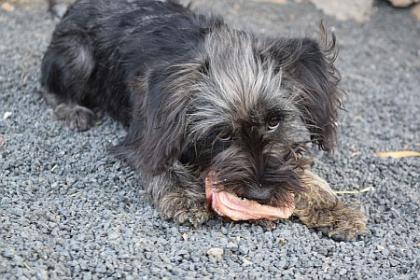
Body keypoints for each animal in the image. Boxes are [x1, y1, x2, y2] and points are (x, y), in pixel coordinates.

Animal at [40, 0, 368, 241]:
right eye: (222, 134)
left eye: (275, 121)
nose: (260, 194)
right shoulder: (142, 141)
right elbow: (162, 164)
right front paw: (182, 194)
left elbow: (303, 170)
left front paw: (334, 209)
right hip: (76, 55)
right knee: (48, 87)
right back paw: (72, 110)